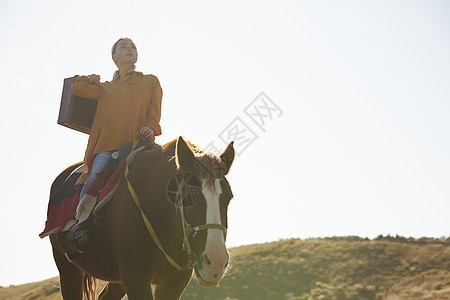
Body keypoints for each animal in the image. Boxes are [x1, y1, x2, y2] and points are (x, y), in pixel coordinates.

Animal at [50, 137, 236, 298]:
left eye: (229, 197)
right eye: (188, 197)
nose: (216, 262)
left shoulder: (175, 280)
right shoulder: (135, 277)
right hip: (69, 272)